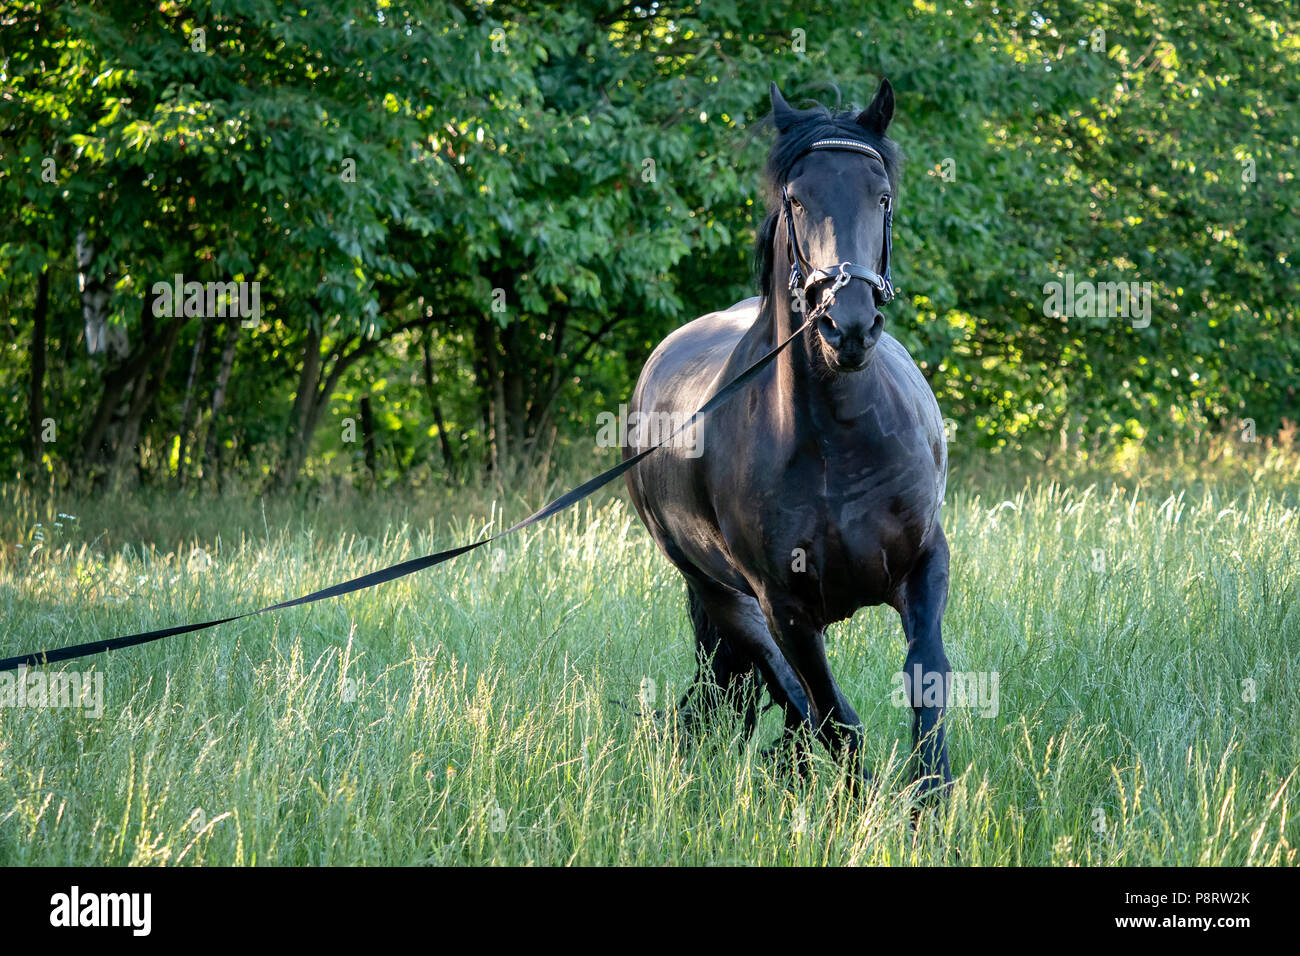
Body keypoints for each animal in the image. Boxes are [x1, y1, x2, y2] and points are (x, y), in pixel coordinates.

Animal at [623, 80, 952, 796]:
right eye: (796, 200)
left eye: (881, 195)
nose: (847, 327)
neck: (839, 443)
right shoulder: (785, 610)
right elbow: (833, 716)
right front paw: (867, 808)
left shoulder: (924, 565)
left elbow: (928, 679)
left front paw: (931, 799)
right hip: (723, 598)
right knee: (791, 695)